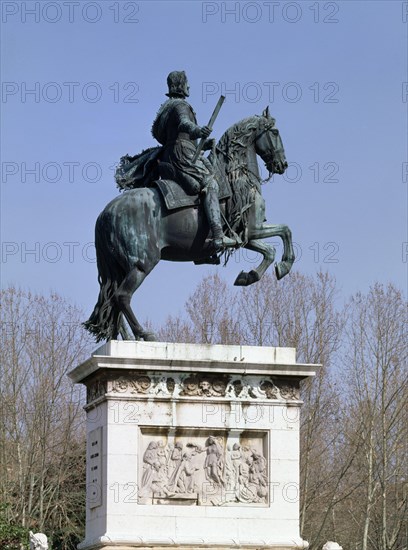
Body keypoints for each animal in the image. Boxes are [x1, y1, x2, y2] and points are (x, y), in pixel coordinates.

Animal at [83, 106, 294, 344]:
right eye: (275, 132)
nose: (282, 164)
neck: (236, 176)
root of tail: (105, 214)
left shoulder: (244, 235)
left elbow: (270, 250)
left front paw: (249, 276)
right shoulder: (254, 228)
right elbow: (285, 231)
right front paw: (284, 265)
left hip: (120, 267)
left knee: (112, 302)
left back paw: (128, 339)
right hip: (142, 263)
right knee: (122, 296)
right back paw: (144, 334)